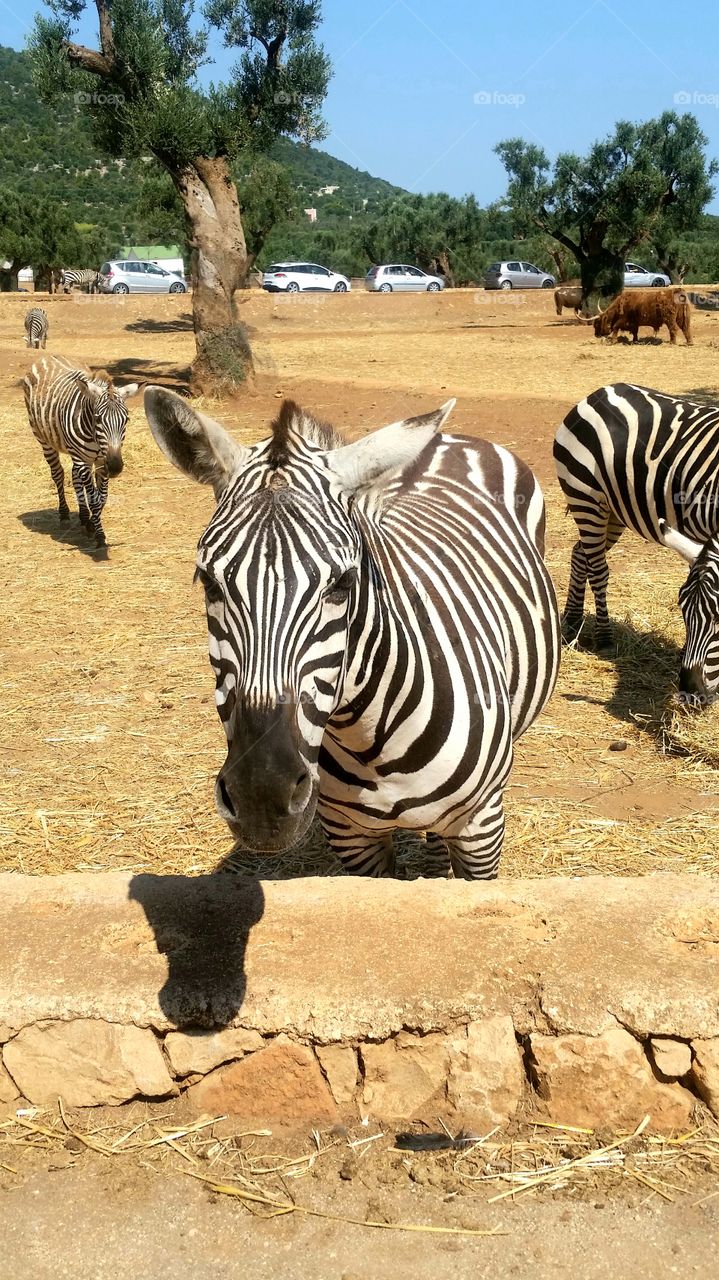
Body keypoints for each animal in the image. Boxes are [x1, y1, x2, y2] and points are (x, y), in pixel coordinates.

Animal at [24, 356, 139, 547]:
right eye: (98, 419)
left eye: (126, 419)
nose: (115, 467)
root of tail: (47, 357)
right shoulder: (85, 459)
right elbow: (94, 498)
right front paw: (99, 535)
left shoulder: (101, 461)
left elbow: (101, 498)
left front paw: (92, 522)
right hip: (45, 440)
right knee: (58, 474)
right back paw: (64, 514)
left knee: (74, 475)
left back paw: (84, 517)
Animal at [144, 387, 560, 879]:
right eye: (208, 582)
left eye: (343, 584)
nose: (261, 798)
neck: (368, 742)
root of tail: (450, 439)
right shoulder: (350, 837)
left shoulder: (482, 828)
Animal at [554, 381, 719, 703]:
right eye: (680, 608)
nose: (692, 694)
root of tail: (599, 392)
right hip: (586, 498)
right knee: (598, 569)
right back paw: (604, 638)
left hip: (615, 510)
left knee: (580, 554)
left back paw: (572, 622)